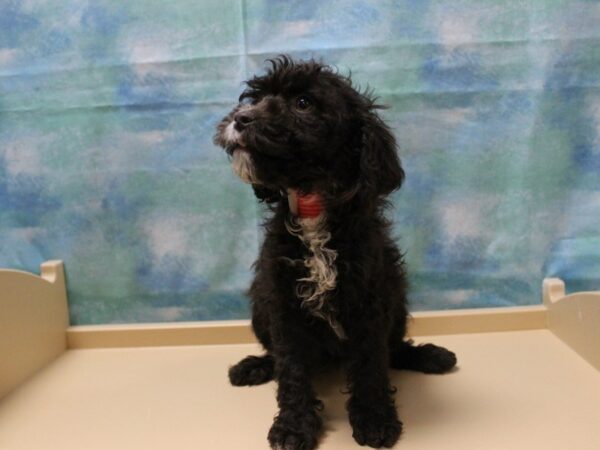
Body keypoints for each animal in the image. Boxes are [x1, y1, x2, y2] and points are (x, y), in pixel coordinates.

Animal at [213, 57, 458, 450]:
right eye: (257, 97)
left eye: (303, 103)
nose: (241, 118)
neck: (314, 207)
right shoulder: (282, 300)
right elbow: (291, 368)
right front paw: (293, 427)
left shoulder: (369, 301)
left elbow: (372, 363)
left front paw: (374, 419)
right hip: (260, 308)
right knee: (276, 354)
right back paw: (253, 366)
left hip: (397, 299)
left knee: (393, 348)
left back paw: (431, 356)